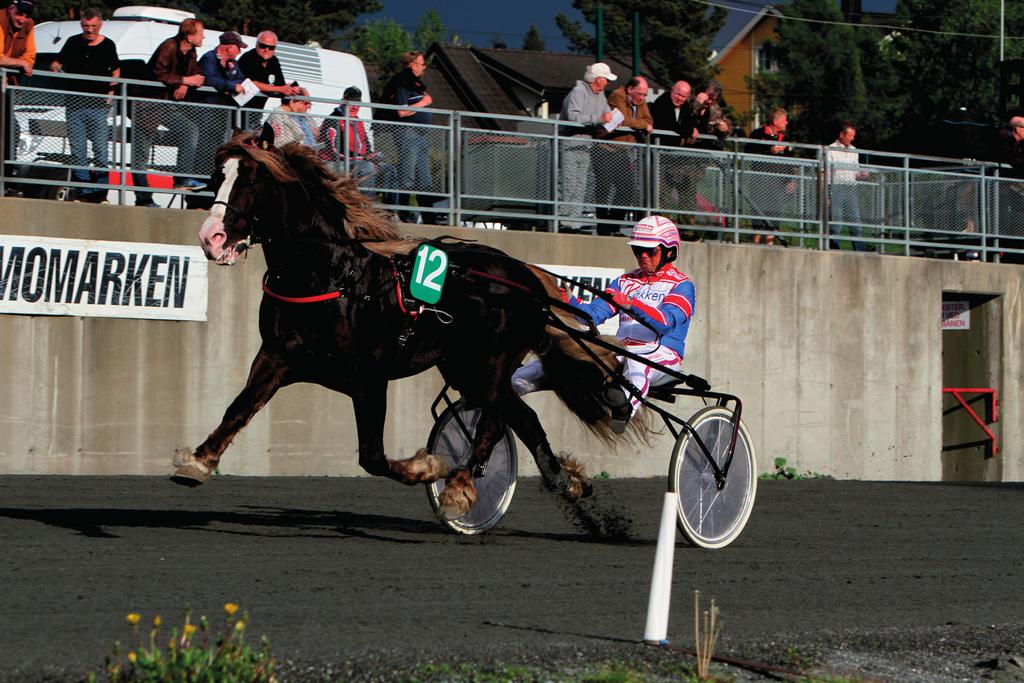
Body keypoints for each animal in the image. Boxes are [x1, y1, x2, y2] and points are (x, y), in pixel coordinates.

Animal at [175, 127, 622, 520]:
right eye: (217, 177)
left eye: (251, 178)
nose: (211, 238)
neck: (333, 277)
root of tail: (524, 276)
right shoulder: (276, 357)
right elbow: (238, 408)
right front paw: (199, 460)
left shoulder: (369, 378)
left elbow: (372, 457)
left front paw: (429, 467)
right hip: (465, 367)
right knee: (522, 416)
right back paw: (565, 480)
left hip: (492, 361)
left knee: (493, 419)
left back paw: (461, 485)